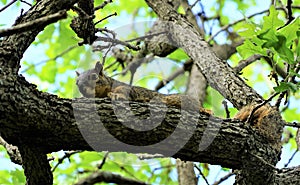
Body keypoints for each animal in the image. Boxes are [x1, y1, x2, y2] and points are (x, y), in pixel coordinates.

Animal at [75, 61, 211, 114]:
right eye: (76, 82)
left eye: (94, 76)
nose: (81, 87)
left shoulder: (126, 88)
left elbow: (123, 91)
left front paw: (115, 95)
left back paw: (204, 110)